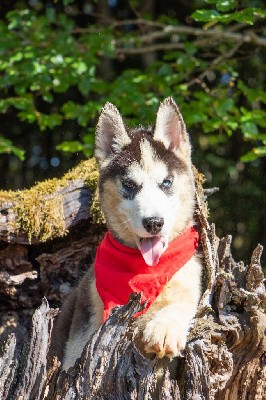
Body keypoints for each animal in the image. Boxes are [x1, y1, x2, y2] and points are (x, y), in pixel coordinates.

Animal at [50, 97, 203, 372]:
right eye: (130, 185)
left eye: (166, 183)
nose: (154, 223)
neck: (145, 270)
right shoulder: (84, 317)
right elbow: (74, 356)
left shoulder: (190, 278)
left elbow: (180, 304)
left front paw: (164, 329)